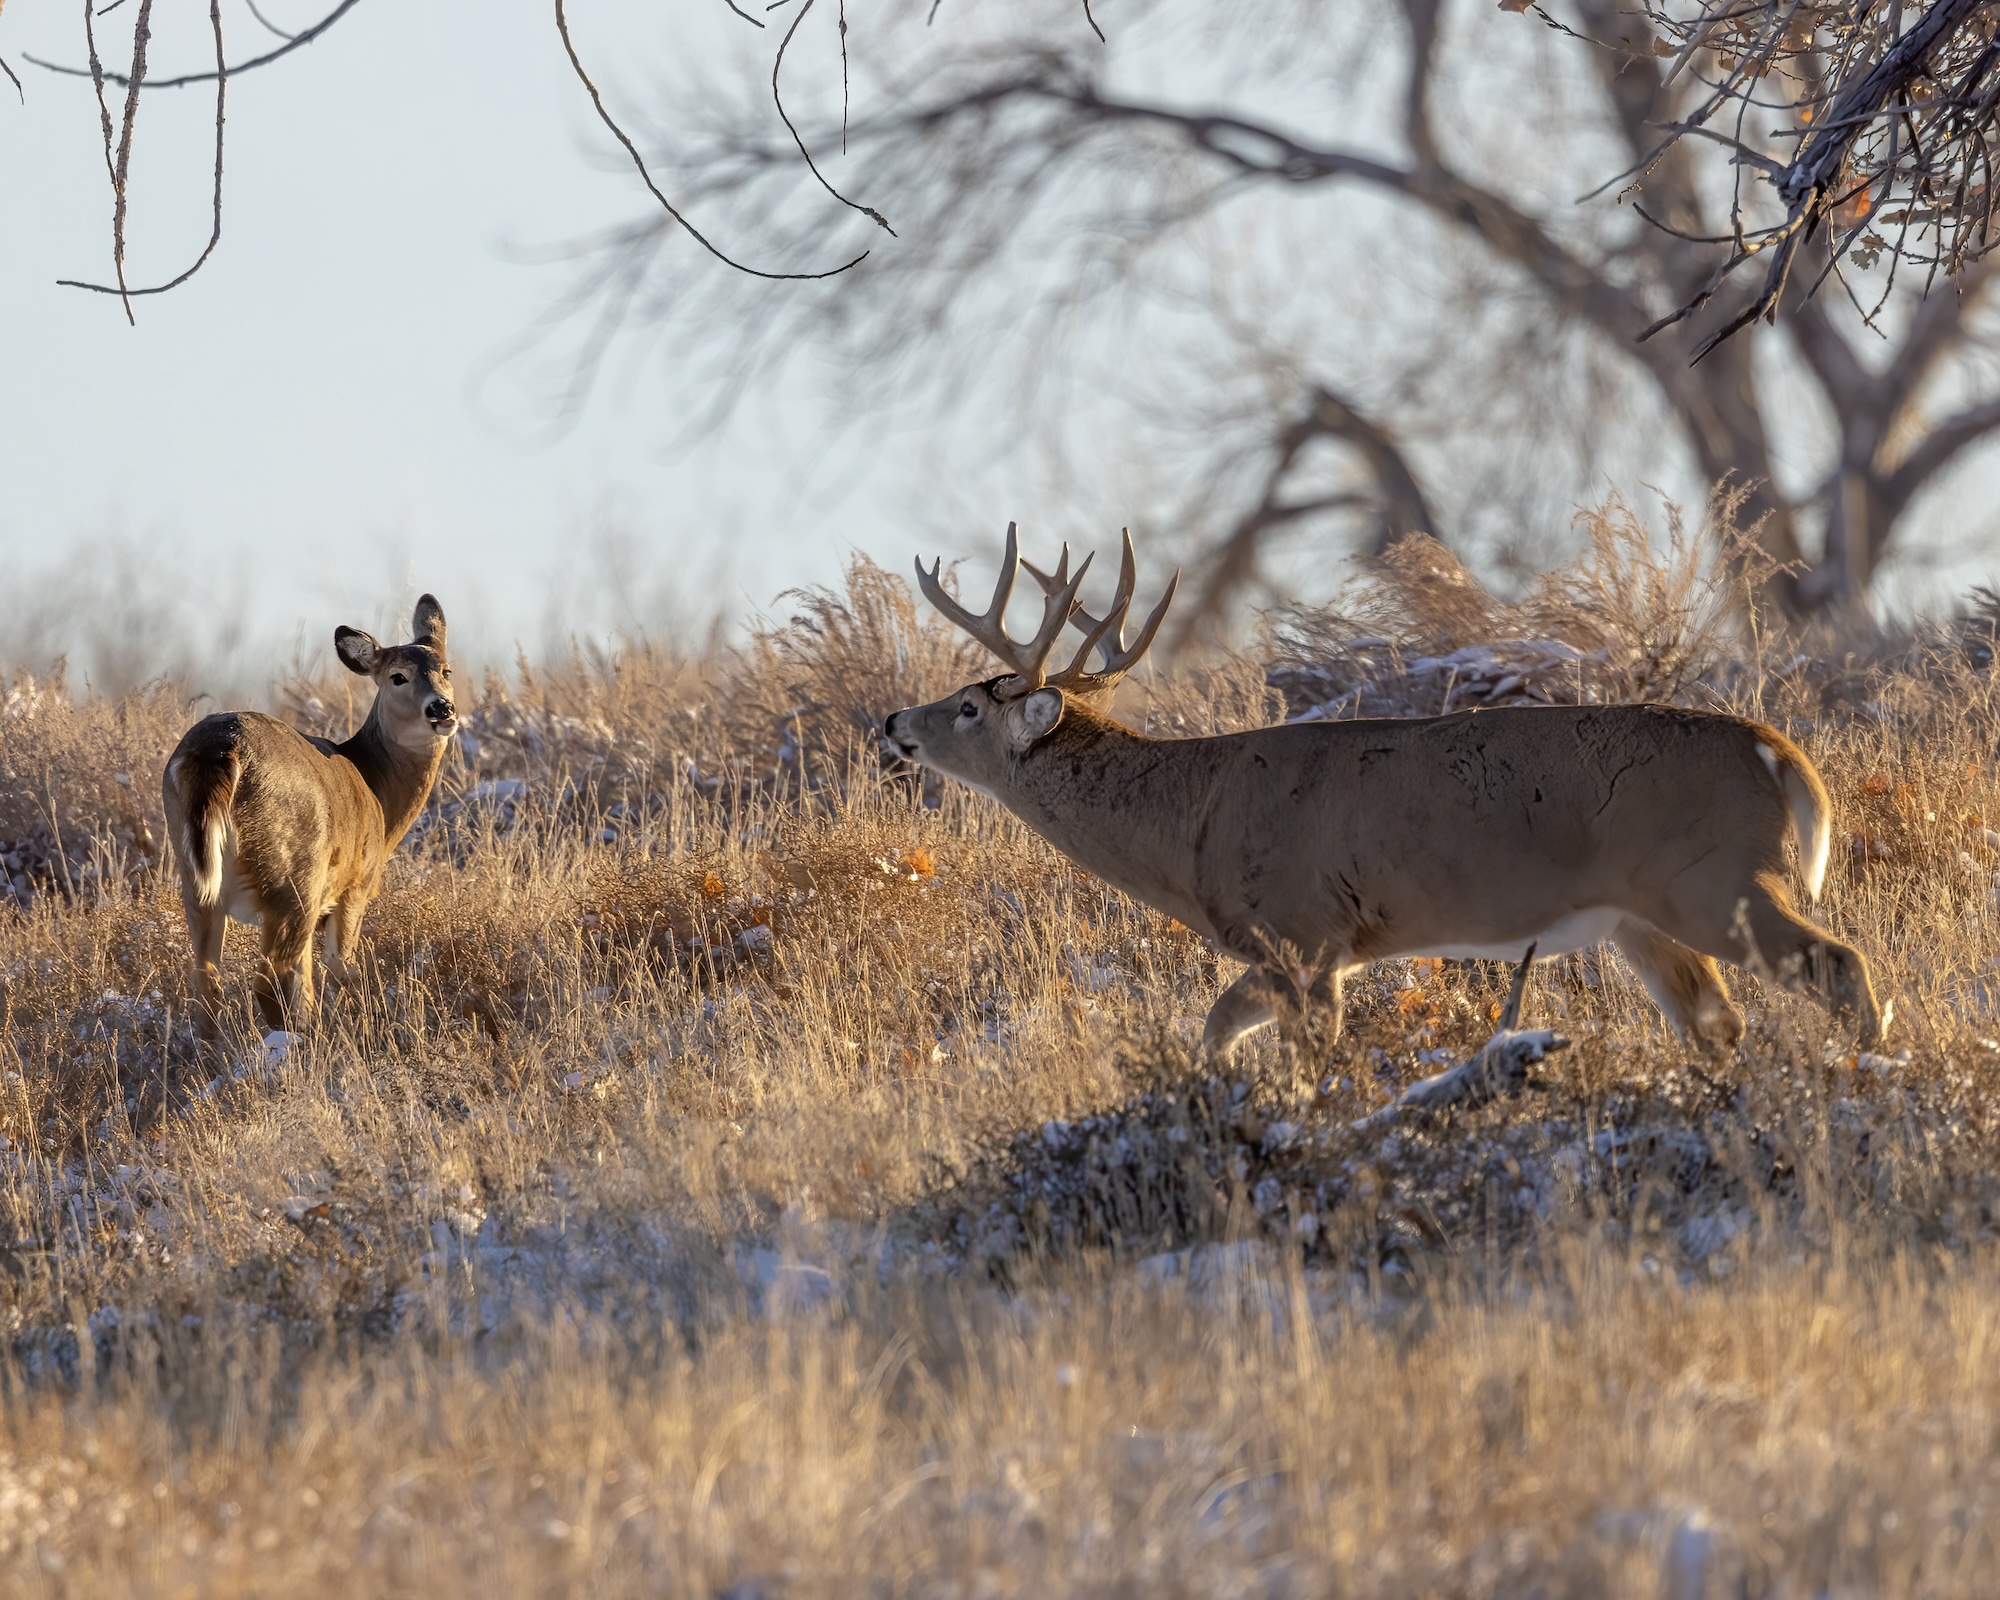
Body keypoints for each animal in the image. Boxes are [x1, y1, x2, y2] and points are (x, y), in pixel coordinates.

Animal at [162, 592, 458, 1040]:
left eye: (446, 670)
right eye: (398, 677)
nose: (442, 708)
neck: (378, 792)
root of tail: (220, 751)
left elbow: (307, 982)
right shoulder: (354, 886)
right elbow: (339, 969)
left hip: (196, 881)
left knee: (207, 979)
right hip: (294, 876)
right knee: (269, 977)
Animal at [884, 528, 1880, 1064]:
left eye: (967, 705)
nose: (894, 719)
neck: (1192, 824)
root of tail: (1778, 752)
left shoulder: (1302, 929)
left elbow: (1301, 1053)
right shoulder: (1300, 951)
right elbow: (1216, 1025)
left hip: (1715, 881)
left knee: (1839, 964)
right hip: (1645, 917)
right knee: (1717, 1021)